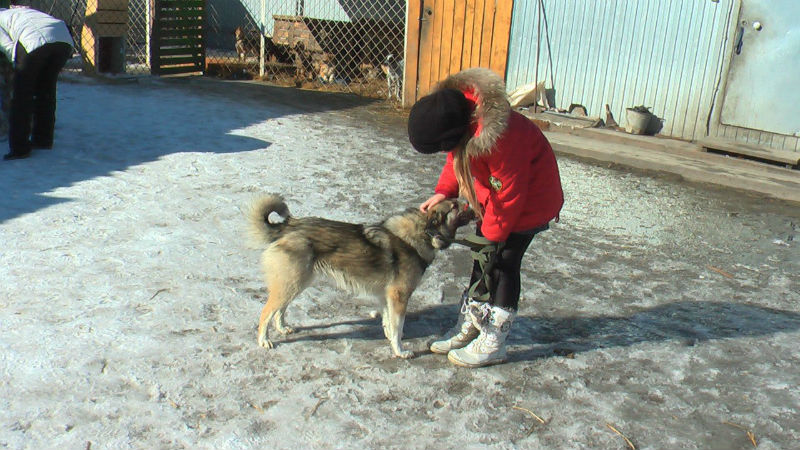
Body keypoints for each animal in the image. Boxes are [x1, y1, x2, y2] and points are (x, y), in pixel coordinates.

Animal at [247, 194, 474, 358]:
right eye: (454, 205)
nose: (471, 201)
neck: (422, 233)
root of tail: (289, 225)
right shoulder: (399, 296)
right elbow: (397, 327)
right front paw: (400, 351)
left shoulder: (386, 296)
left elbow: (388, 323)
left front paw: (389, 338)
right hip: (291, 284)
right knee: (266, 312)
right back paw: (264, 340)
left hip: (296, 283)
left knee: (279, 310)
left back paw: (283, 328)